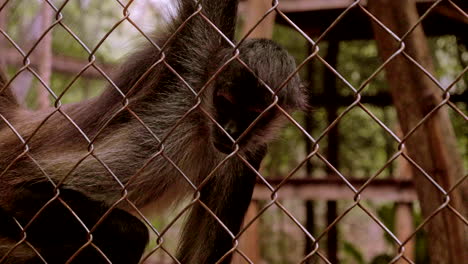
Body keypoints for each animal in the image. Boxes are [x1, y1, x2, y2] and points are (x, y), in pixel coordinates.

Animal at [0, 0, 306, 264]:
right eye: (226, 102)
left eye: (253, 114)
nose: (230, 129)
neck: (202, 127)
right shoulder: (194, 59)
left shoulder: (246, 153)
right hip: (12, 194)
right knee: (130, 234)